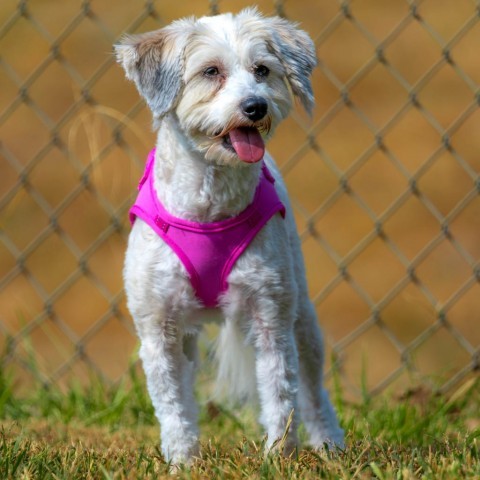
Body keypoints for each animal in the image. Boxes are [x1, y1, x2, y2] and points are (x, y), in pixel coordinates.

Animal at [114, 7, 344, 464]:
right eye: (211, 71)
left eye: (262, 70)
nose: (255, 105)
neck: (209, 207)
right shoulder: (159, 327)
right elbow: (174, 405)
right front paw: (182, 460)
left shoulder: (271, 317)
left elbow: (280, 394)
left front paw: (278, 457)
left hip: (302, 316)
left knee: (313, 389)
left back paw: (329, 443)